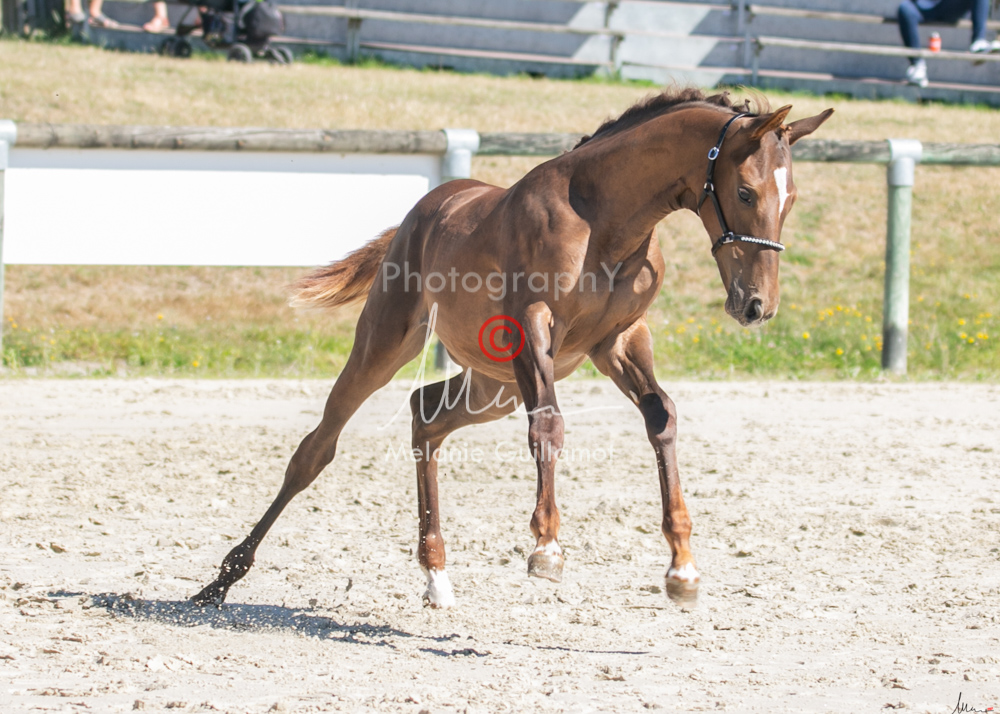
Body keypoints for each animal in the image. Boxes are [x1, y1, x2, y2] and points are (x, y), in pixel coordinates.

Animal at [191, 88, 833, 609]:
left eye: (791, 198)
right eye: (745, 191)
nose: (756, 305)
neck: (606, 221)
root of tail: (426, 207)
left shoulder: (619, 339)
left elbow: (663, 417)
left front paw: (682, 570)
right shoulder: (532, 325)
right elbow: (548, 424)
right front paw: (546, 547)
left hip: (490, 385)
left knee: (427, 414)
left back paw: (436, 576)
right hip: (387, 344)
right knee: (317, 448)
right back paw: (221, 580)